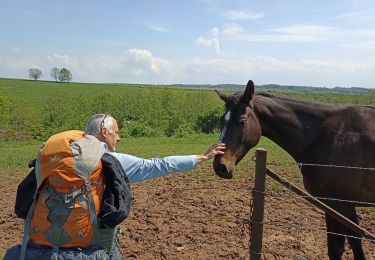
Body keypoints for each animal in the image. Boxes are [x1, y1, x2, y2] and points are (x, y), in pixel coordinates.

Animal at [214, 79, 375, 260]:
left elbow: (337, 248)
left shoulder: (338, 205)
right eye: (222, 121)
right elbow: (356, 241)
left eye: (241, 122)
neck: (328, 136)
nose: (220, 166)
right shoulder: (345, 205)